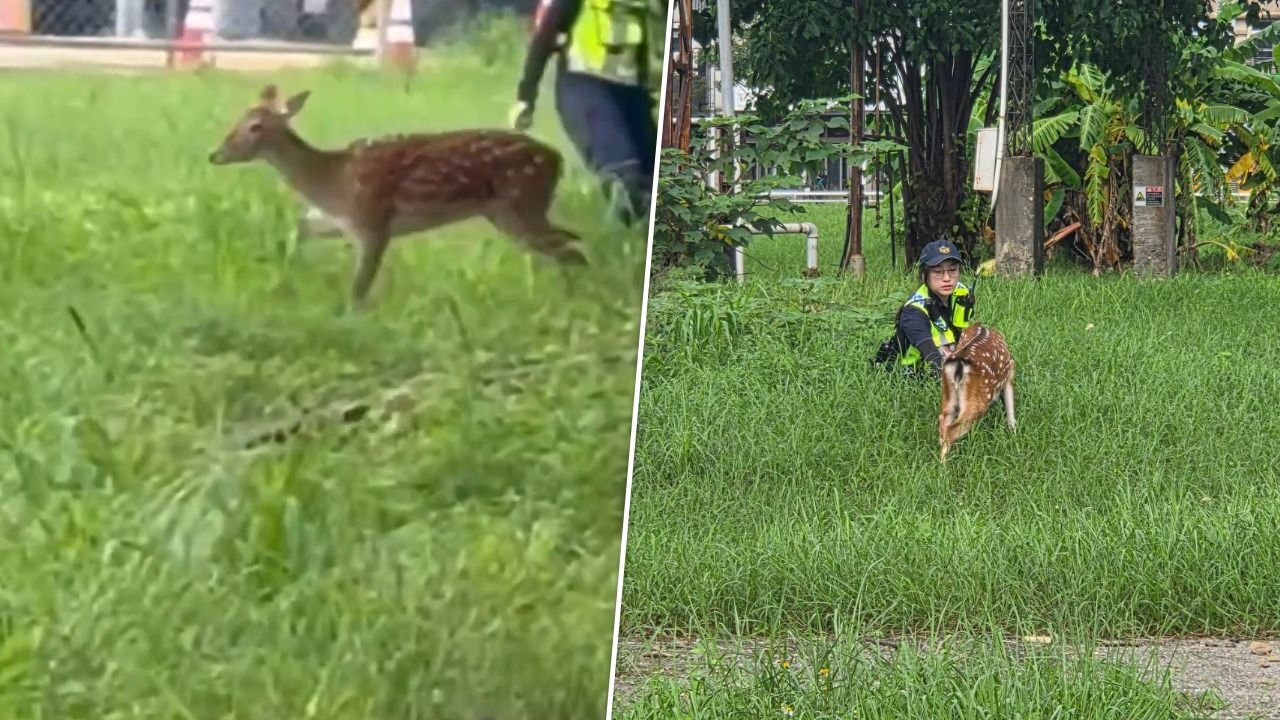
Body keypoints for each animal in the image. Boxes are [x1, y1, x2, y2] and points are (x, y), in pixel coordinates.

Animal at [208, 84, 586, 306]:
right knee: (569, 243)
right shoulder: (338, 220)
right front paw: (278, 277)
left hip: (520, 204)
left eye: (255, 127)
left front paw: (350, 315)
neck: (331, 182)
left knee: (571, 249)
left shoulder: (374, 221)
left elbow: (359, 286)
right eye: (238, 118)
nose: (216, 154)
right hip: (509, 213)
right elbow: (294, 231)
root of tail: (558, 159)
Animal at [938, 323, 1016, 462]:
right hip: (979, 400)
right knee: (951, 429)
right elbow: (1010, 406)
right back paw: (944, 466)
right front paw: (1014, 435)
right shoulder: (1010, 373)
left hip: (948, 395)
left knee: (943, 421)